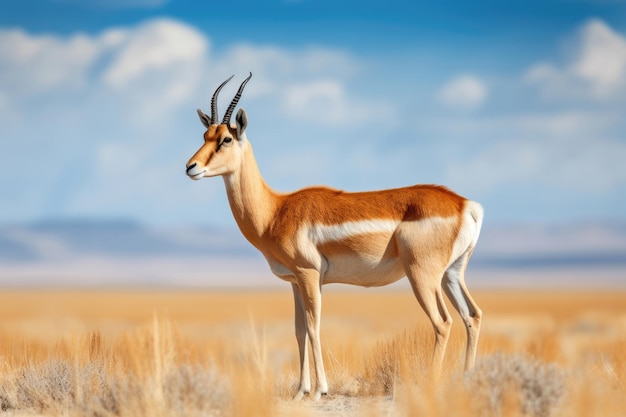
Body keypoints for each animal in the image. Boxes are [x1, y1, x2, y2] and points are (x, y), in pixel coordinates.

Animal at [184, 73, 482, 398]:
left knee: (443, 322)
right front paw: (301, 390)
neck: (276, 211)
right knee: (472, 315)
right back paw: (467, 379)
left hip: (422, 276)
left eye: (226, 139)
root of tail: (465, 204)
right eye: (205, 136)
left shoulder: (309, 274)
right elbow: (299, 330)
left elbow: (314, 328)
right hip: (451, 274)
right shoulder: (295, 281)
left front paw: (319, 390)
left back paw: (431, 384)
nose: (191, 167)